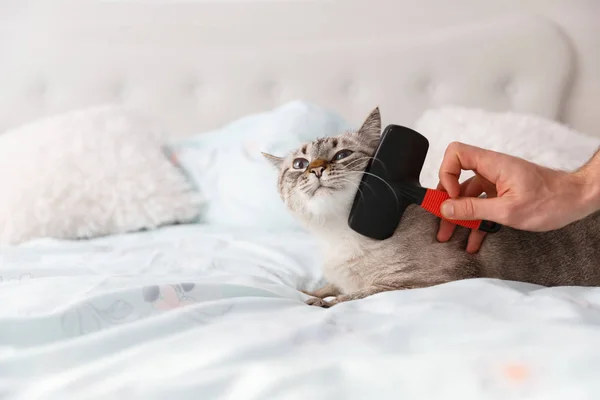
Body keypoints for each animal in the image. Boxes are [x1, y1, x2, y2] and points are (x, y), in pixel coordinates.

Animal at [262, 108, 600, 308]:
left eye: (342, 155)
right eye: (300, 164)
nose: (316, 169)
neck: (337, 237)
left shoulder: (418, 281)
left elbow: (353, 295)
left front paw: (320, 302)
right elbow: (324, 287)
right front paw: (307, 293)